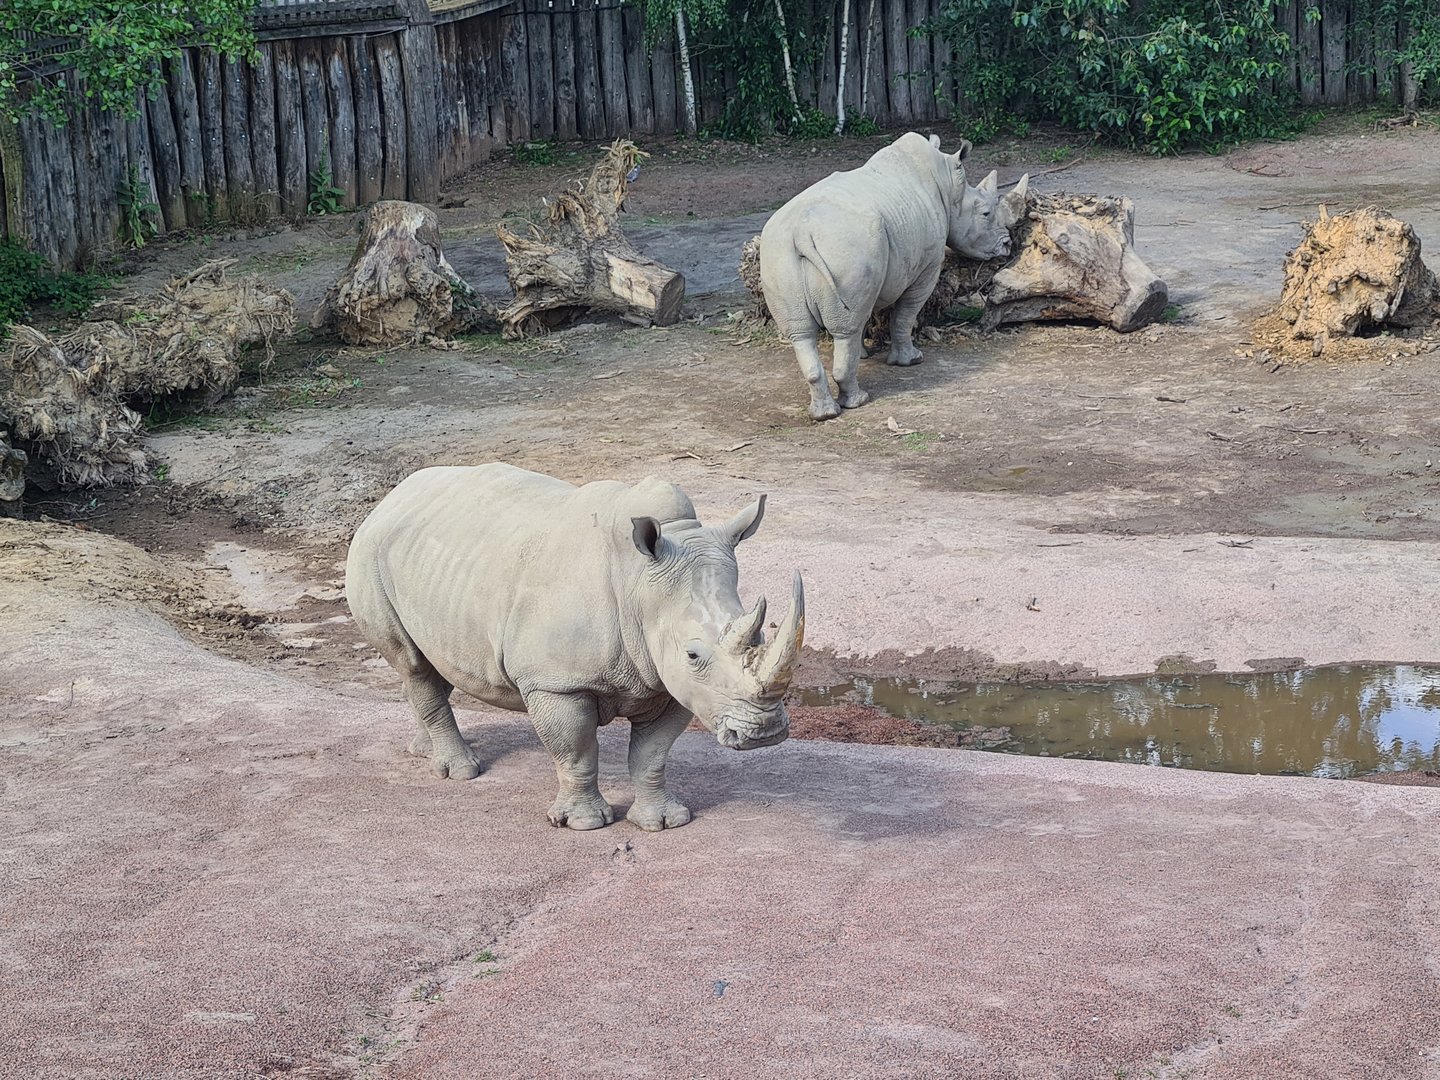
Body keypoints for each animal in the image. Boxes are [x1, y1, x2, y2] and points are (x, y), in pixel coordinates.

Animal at [346, 463, 804, 832]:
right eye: (694, 655)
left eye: (761, 636)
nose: (765, 732)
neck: (638, 584)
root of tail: (391, 497)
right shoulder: (556, 682)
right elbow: (576, 751)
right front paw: (584, 823)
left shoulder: (670, 680)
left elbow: (652, 756)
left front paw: (664, 822)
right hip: (369, 553)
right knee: (412, 662)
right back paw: (460, 772)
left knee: (430, 660)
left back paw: (423, 750)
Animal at [759, 132, 1029, 420]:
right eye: (986, 214)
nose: (1006, 245)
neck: (948, 185)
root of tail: (802, 232)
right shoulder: (927, 267)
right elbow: (905, 315)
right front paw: (910, 360)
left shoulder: (875, 272)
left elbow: (864, 316)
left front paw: (863, 355)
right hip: (846, 248)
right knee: (844, 331)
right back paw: (858, 400)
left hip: (783, 255)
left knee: (802, 334)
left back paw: (824, 413)